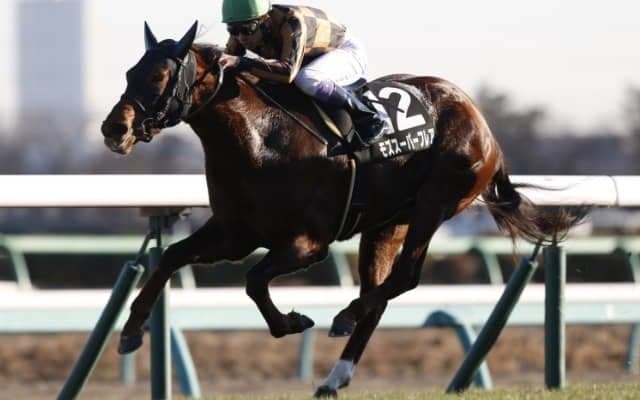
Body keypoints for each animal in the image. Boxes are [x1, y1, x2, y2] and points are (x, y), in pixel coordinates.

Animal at [101, 22, 583, 397]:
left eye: (160, 76)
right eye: (129, 71)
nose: (113, 128)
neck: (261, 139)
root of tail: (482, 124)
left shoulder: (308, 243)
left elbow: (255, 280)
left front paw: (292, 321)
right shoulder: (235, 233)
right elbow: (171, 256)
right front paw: (130, 330)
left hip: (435, 202)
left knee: (404, 278)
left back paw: (344, 316)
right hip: (386, 224)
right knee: (381, 295)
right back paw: (334, 376)